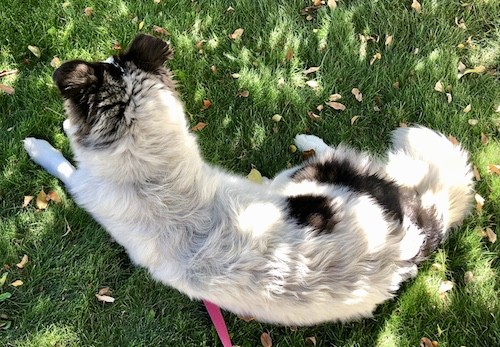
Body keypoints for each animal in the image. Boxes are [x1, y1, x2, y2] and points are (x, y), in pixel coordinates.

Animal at [24, 34, 472, 326]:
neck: (153, 172)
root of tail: (413, 235)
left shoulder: (85, 187)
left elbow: (62, 164)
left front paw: (41, 143)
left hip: (297, 179)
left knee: (324, 153)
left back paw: (307, 140)